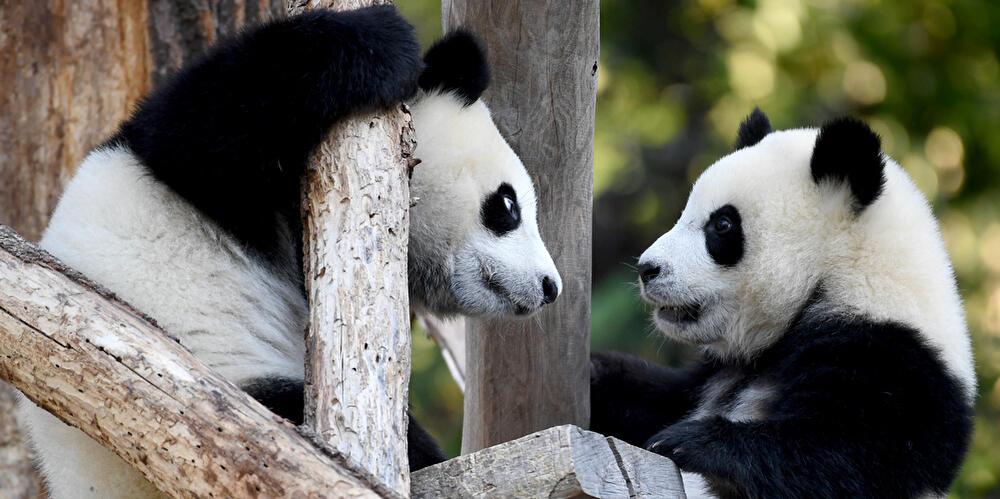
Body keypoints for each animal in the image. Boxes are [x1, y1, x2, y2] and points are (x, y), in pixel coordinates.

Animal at [590, 109, 974, 498]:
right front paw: (595, 373)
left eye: (722, 224)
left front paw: (691, 442)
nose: (648, 269)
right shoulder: (717, 374)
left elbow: (843, 458)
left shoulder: (897, 365)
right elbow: (658, 399)